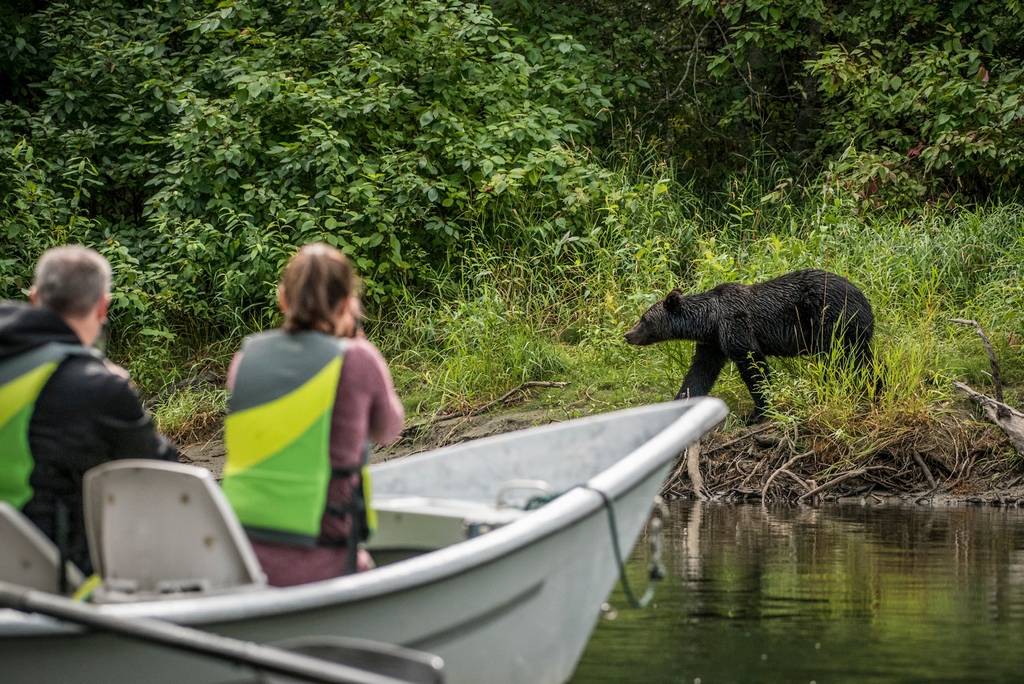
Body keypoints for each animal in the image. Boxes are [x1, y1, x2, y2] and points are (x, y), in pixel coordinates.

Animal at [624, 269, 876, 423]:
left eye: (644, 319)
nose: (628, 334)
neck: (709, 321)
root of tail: (865, 301)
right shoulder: (712, 343)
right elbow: (700, 372)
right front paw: (679, 402)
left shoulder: (735, 326)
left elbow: (753, 364)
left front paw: (757, 413)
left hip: (832, 322)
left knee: (842, 359)